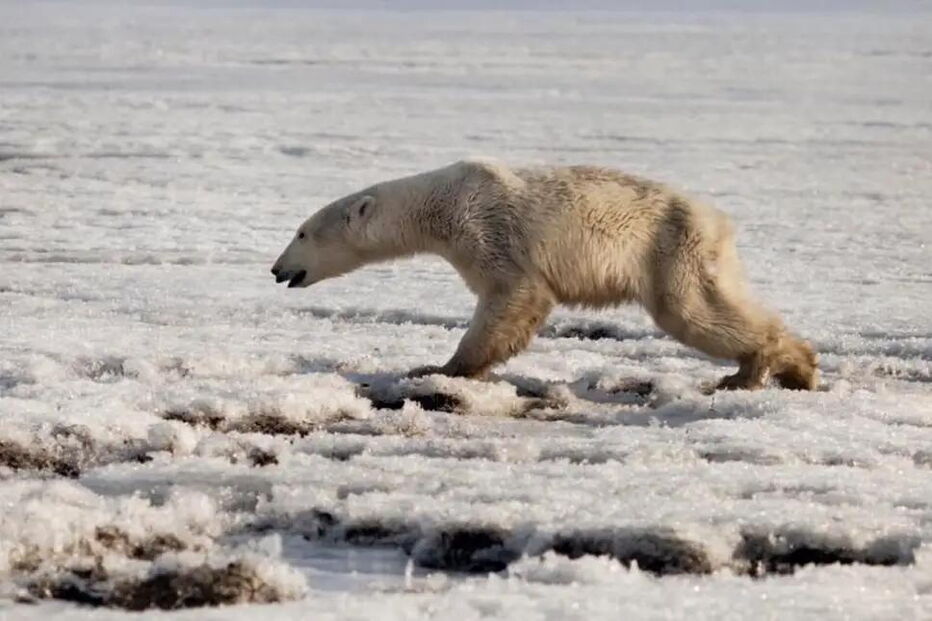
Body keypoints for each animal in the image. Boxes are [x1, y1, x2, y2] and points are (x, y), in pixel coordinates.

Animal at [271, 159, 817, 391]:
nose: (277, 270)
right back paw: (792, 367)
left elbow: (513, 295)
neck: (441, 203)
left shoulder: (487, 229)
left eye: (301, 232)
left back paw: (759, 370)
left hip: (670, 248)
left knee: (692, 312)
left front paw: (439, 368)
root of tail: (718, 221)